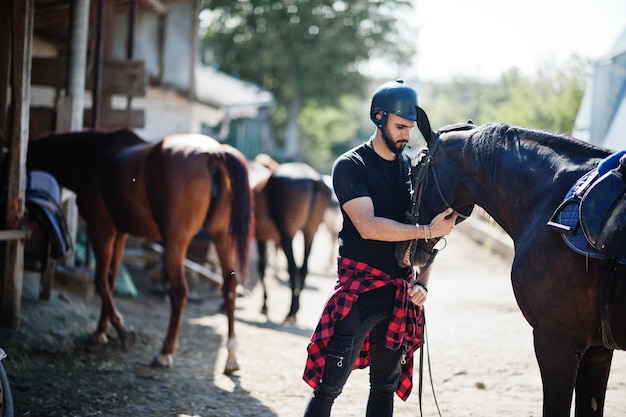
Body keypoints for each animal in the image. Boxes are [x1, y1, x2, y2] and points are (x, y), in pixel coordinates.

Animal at [26, 128, 251, 372]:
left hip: (175, 243)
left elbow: (100, 280)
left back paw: (164, 353)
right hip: (221, 236)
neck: (94, 157)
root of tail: (213, 152)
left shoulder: (101, 229)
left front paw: (119, 330)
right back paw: (231, 356)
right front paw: (102, 329)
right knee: (229, 285)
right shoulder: (120, 234)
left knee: (179, 291)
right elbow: (111, 279)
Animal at [251, 158, 334, 324]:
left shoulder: (261, 237)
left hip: (287, 234)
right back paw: (296, 309)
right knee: (303, 268)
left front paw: (264, 305)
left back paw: (290, 310)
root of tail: (313, 179)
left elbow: (261, 266)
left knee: (293, 268)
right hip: (310, 232)